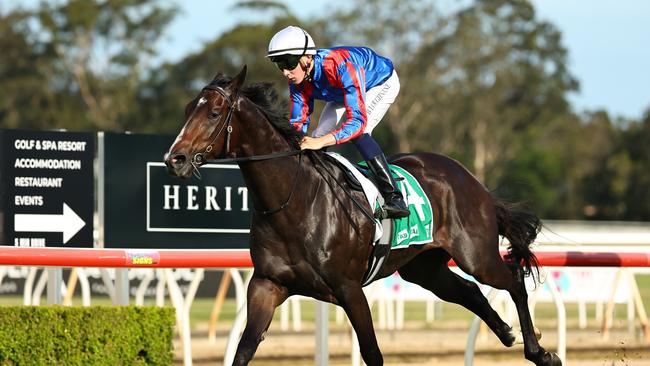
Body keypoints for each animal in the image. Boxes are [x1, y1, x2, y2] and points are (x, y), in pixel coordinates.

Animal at [165, 66, 560, 366]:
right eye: (186, 109)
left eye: (214, 112)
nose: (175, 159)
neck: (293, 201)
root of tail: (470, 177)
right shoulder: (266, 284)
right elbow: (244, 350)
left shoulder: (349, 288)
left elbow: (372, 353)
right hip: (425, 268)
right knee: (469, 291)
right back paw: (507, 333)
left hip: (476, 254)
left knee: (513, 280)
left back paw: (539, 351)